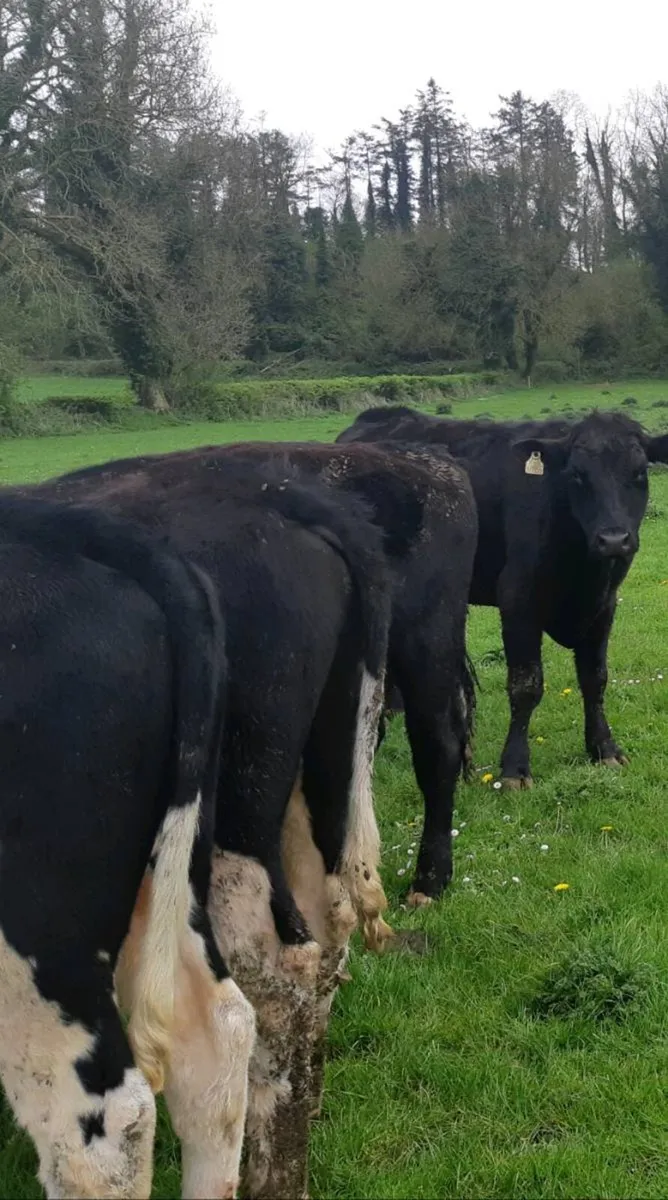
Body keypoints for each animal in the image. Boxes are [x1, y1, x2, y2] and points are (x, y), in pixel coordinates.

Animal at [337, 406, 668, 787]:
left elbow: (595, 679)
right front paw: (514, 767)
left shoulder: (604, 606)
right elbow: (526, 686)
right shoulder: (518, 600)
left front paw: (604, 748)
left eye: (639, 471)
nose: (613, 539)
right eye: (577, 475)